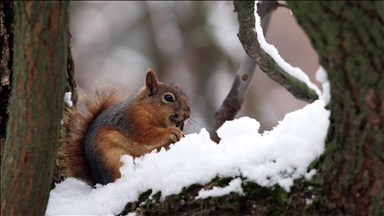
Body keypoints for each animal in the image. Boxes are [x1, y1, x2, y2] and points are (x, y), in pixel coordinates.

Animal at [57, 69, 191, 186]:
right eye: (168, 97)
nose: (188, 115)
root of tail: (99, 180)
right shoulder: (132, 121)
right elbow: (146, 134)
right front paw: (170, 132)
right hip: (113, 158)